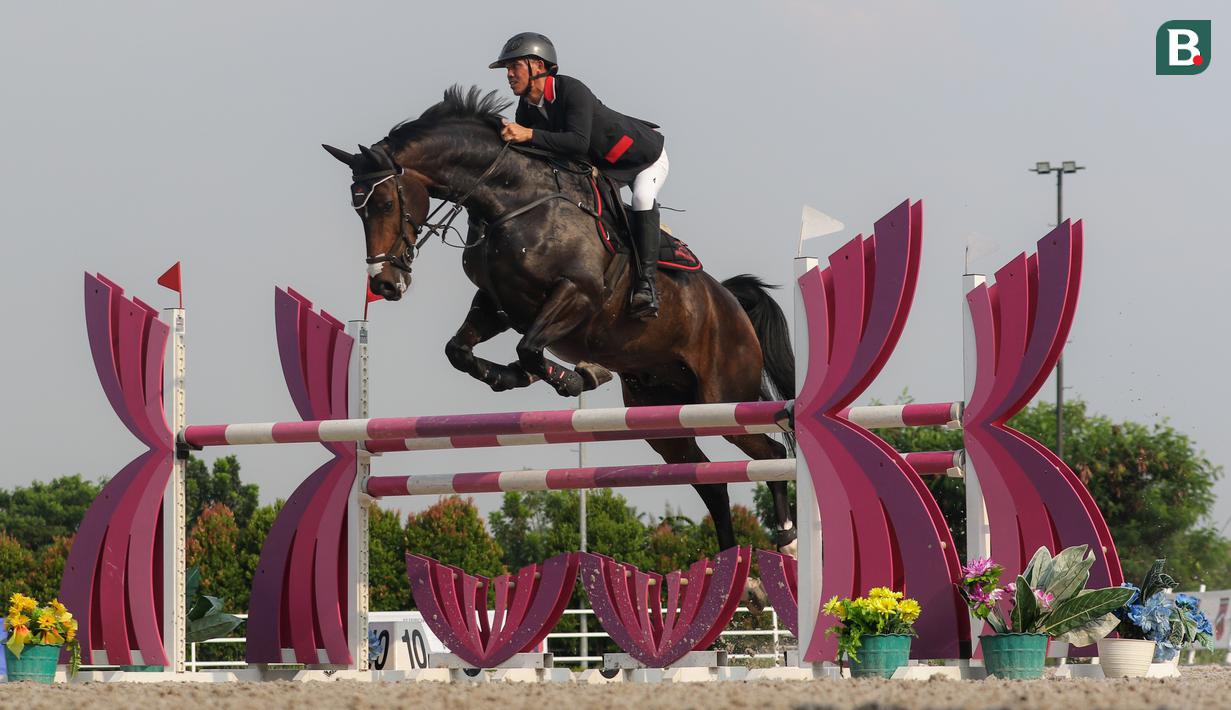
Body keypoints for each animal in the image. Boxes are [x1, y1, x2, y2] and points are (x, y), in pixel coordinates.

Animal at [324, 85, 797, 566]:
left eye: (385, 203)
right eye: (357, 210)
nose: (385, 283)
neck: (511, 201)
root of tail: (731, 303)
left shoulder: (578, 294)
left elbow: (529, 348)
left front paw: (570, 377)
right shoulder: (499, 305)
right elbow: (461, 351)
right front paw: (513, 377)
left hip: (721, 397)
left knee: (772, 453)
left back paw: (787, 537)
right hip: (660, 412)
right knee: (712, 481)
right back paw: (736, 567)